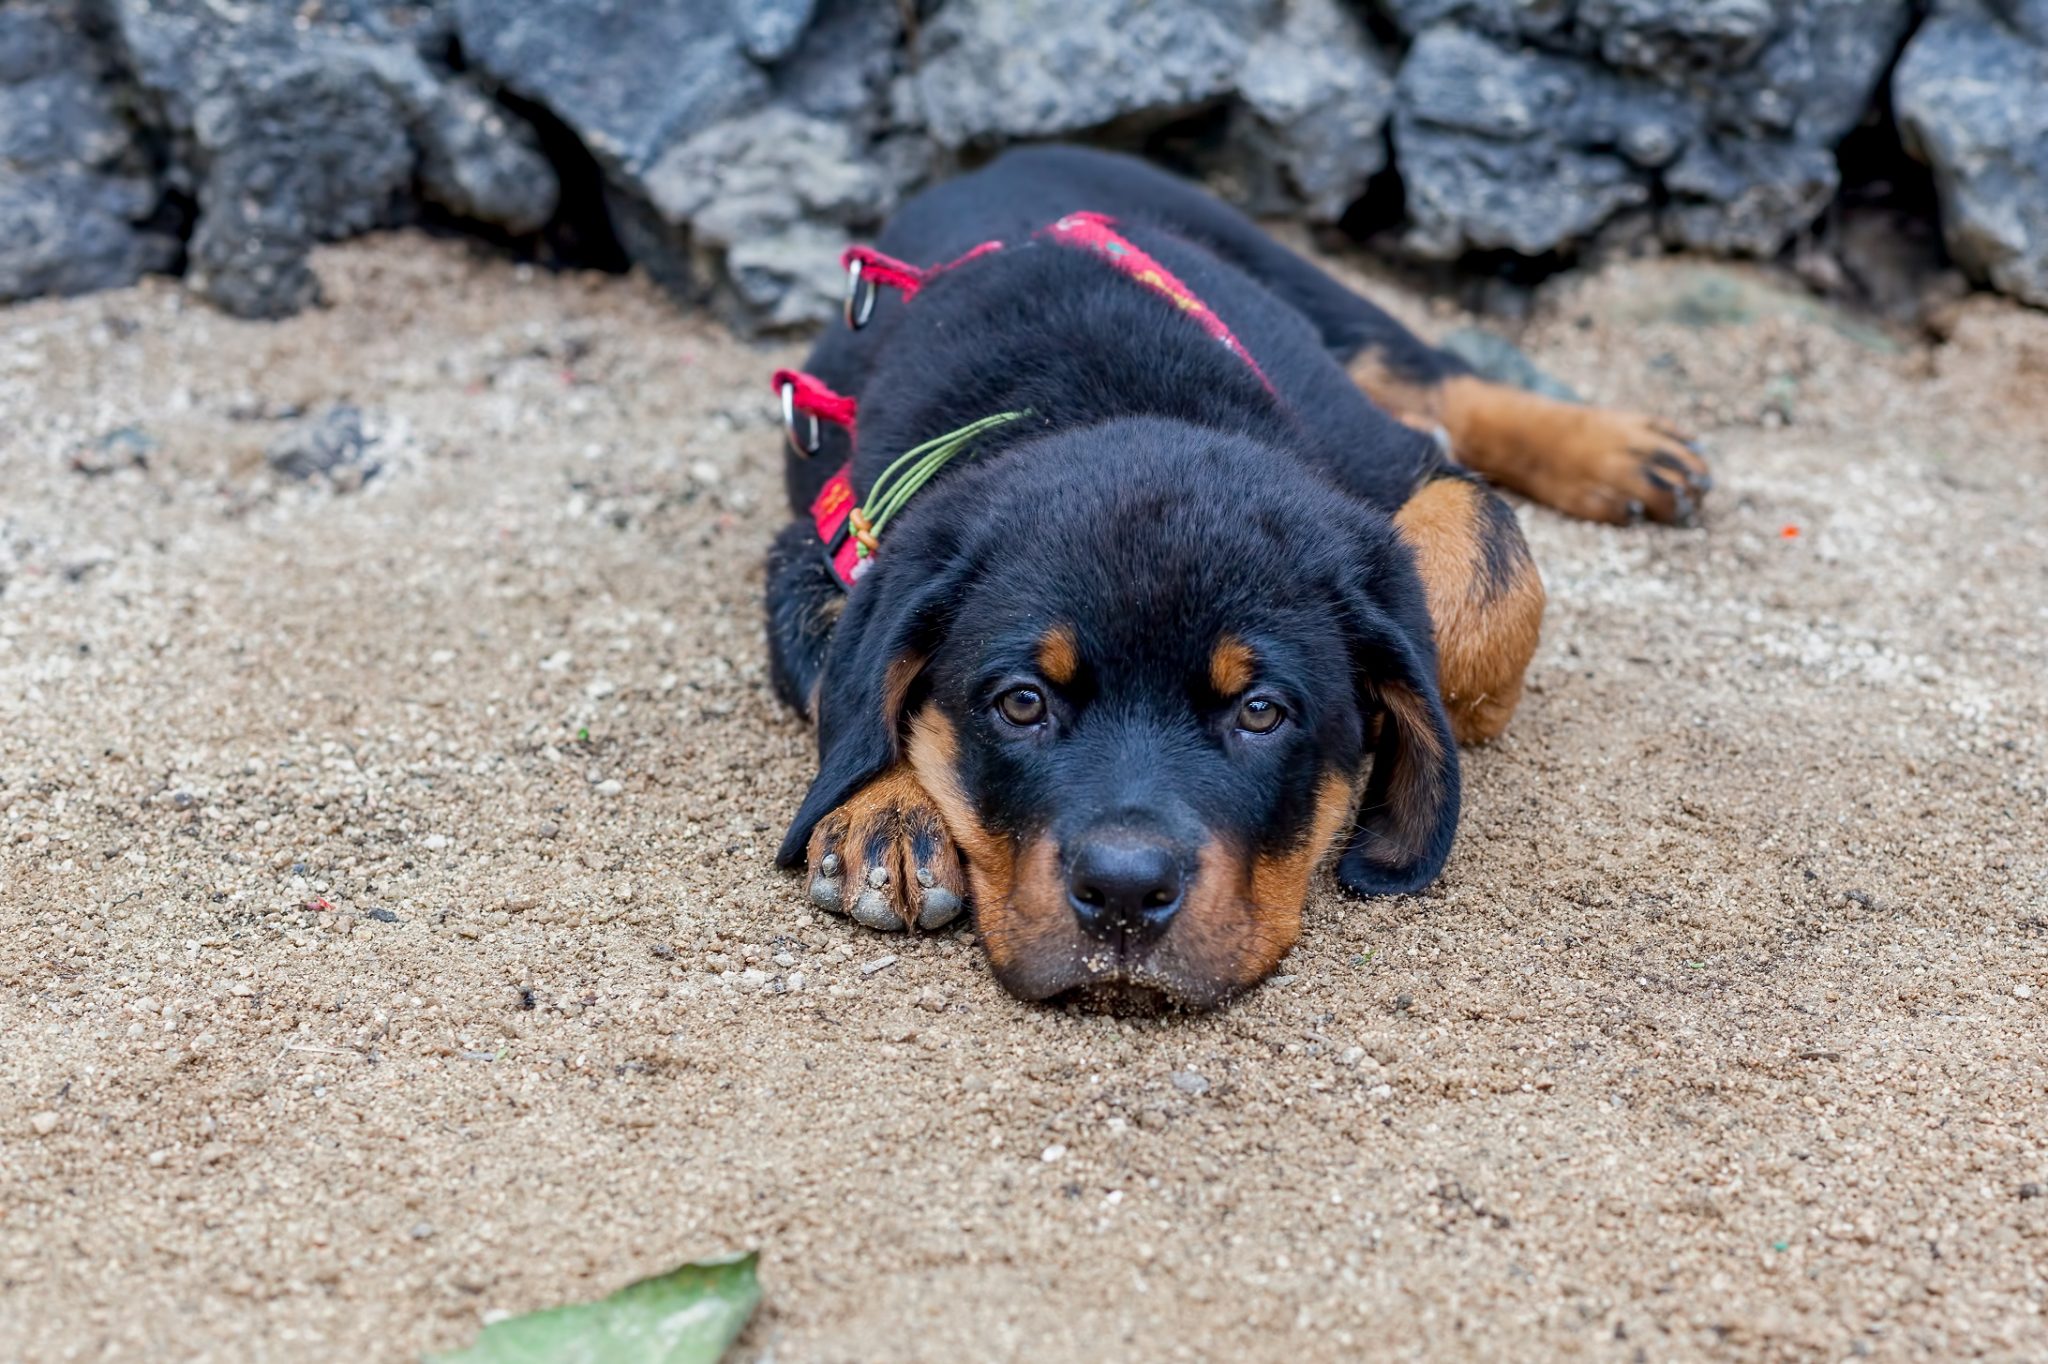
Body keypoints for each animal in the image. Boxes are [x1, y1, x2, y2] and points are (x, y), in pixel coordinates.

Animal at [761, 146, 1703, 1007]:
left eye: (1260, 712)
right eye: (1021, 704)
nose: (1125, 891)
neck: (1098, 396)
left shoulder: (1402, 468)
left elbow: (1481, 593)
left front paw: (1420, 719)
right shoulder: (828, 542)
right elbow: (844, 681)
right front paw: (883, 808)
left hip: (1303, 290)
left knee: (1436, 378)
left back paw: (1627, 452)